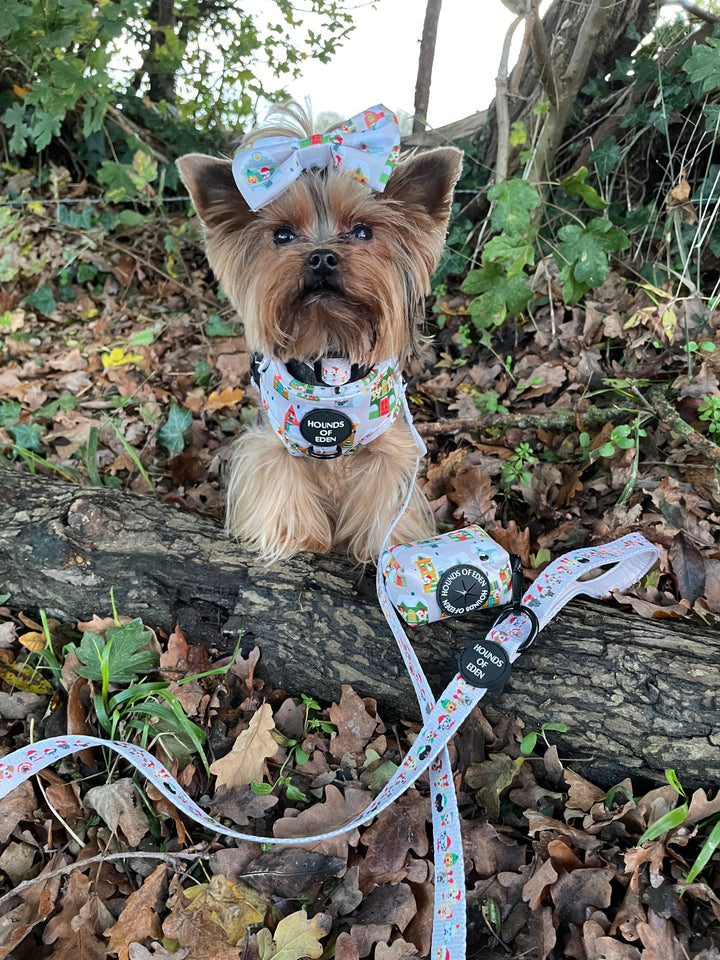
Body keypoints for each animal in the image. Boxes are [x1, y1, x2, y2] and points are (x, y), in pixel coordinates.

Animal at [178, 103, 464, 564]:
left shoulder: (389, 447)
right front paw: (299, 538)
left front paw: (384, 547)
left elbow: (386, 501)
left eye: (363, 231)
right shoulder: (273, 445)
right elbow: (281, 484)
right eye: (282, 234)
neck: (330, 360)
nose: (322, 257)